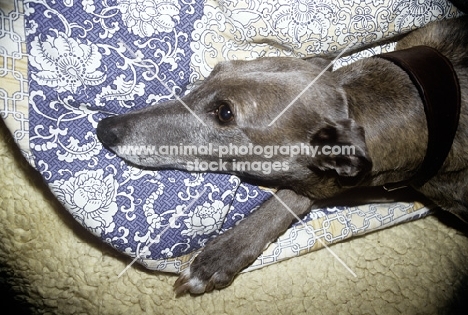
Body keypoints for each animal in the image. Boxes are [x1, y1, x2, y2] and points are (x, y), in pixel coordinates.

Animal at [96, 17, 468, 296]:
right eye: (214, 72)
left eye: (225, 112)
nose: (105, 128)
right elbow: (296, 193)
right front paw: (221, 255)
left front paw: (216, 260)